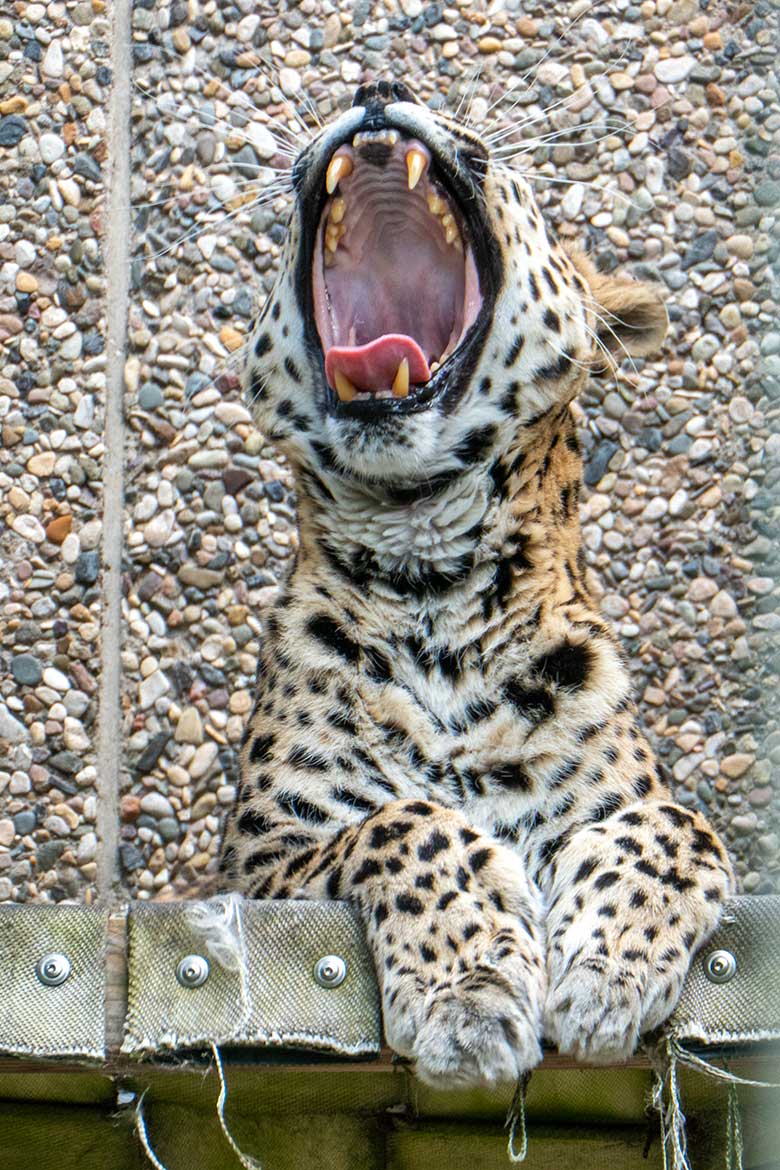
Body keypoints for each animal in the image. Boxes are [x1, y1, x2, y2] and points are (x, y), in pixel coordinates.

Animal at [216, 80, 734, 1085]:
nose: (377, 86)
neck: (436, 580)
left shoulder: (632, 801)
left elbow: (683, 825)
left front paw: (607, 972)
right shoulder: (257, 865)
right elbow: (407, 821)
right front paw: (471, 996)